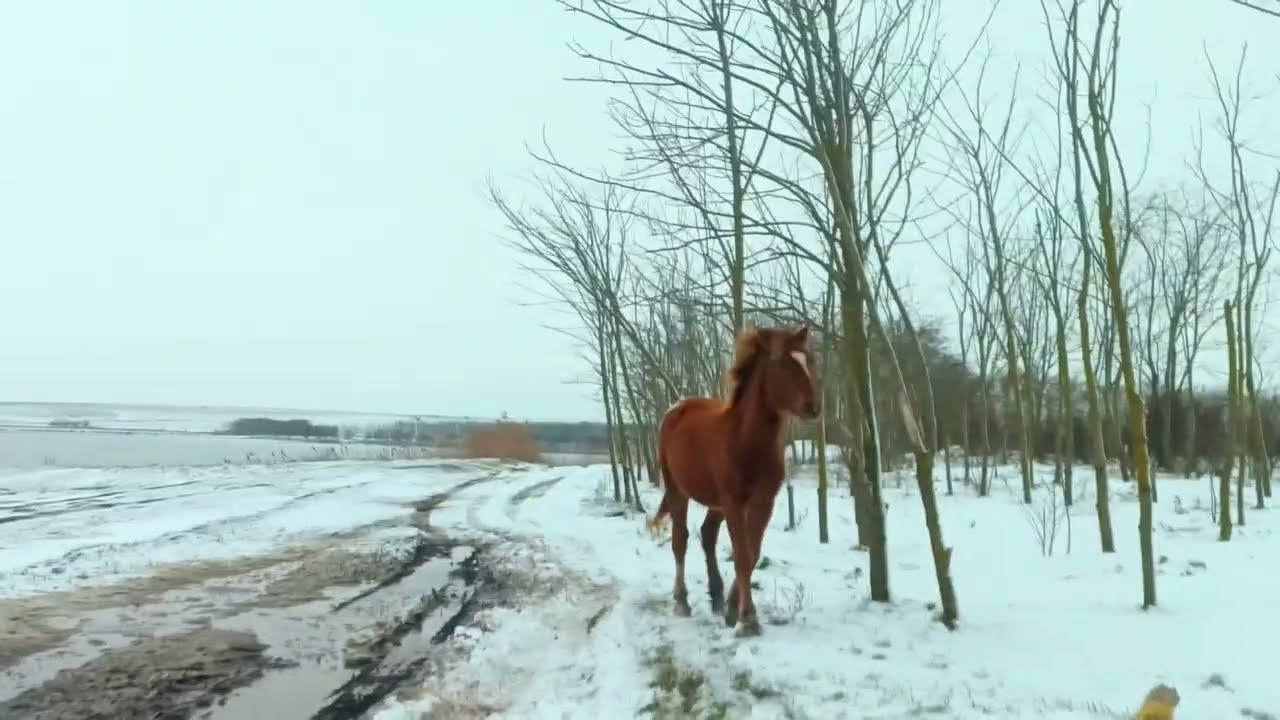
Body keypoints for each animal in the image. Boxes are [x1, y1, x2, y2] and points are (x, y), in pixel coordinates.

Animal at [648, 324, 820, 637]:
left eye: (809, 360)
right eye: (781, 363)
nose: (813, 408)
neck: (745, 440)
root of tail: (677, 408)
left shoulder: (764, 501)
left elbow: (752, 554)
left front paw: (731, 610)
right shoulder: (734, 503)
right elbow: (742, 555)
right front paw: (748, 620)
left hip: (715, 503)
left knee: (707, 535)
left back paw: (716, 597)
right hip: (679, 491)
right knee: (680, 540)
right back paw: (681, 601)